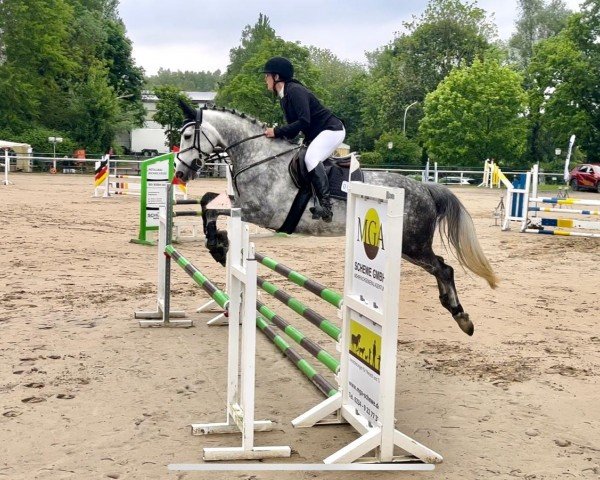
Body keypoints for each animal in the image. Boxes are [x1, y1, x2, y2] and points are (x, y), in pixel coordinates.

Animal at [176, 104, 500, 338]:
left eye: (187, 137)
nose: (180, 172)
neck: (260, 157)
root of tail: (425, 188)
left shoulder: (260, 211)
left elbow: (213, 208)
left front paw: (217, 245)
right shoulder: (243, 204)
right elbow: (207, 201)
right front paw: (218, 244)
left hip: (413, 246)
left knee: (444, 269)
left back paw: (461, 317)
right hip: (409, 248)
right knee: (442, 268)